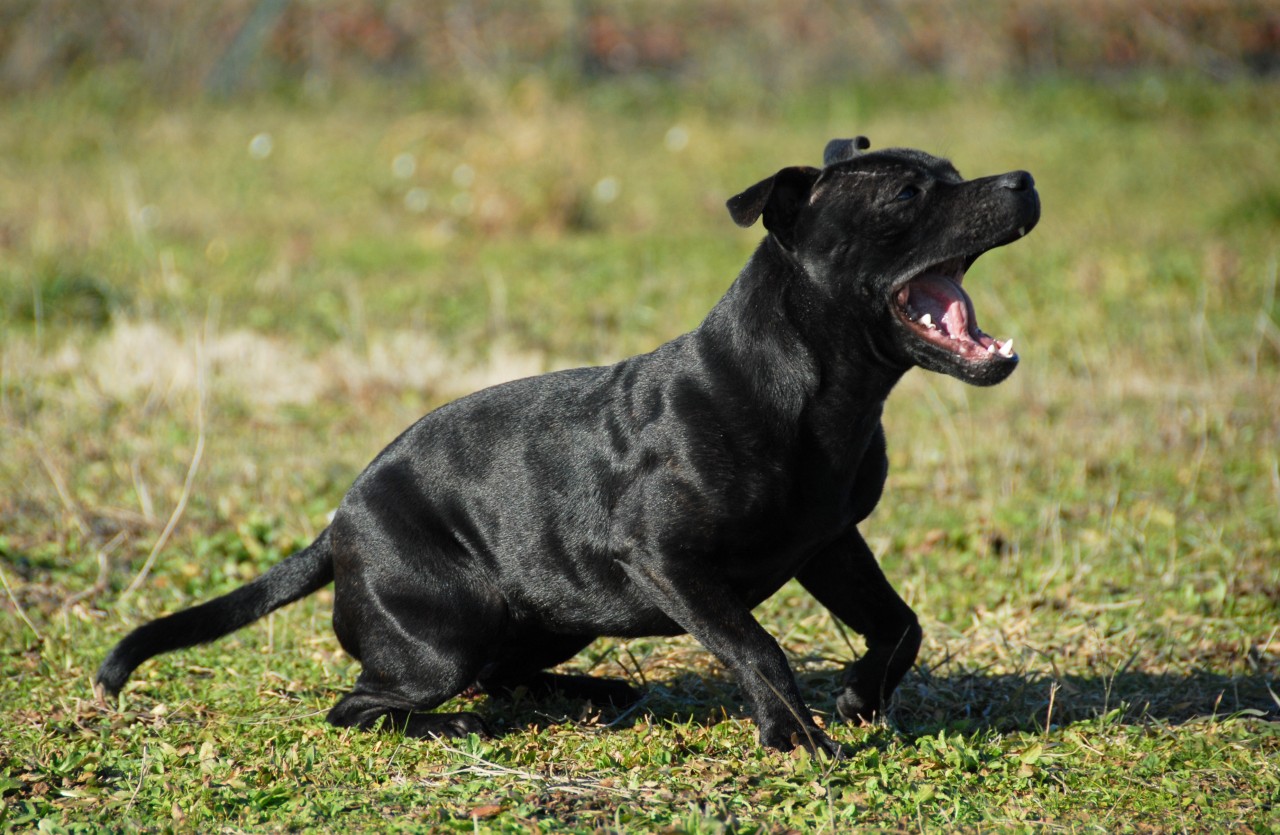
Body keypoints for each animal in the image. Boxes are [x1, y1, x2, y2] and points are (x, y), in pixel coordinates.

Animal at [99, 133, 1039, 753]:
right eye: (907, 196)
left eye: (952, 173)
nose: (1026, 177)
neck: (813, 389)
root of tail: (335, 528)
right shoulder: (669, 558)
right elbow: (757, 646)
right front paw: (796, 734)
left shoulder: (830, 540)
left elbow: (901, 622)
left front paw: (856, 696)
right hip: (443, 634)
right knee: (370, 704)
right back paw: (459, 723)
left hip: (550, 617)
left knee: (506, 673)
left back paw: (589, 692)